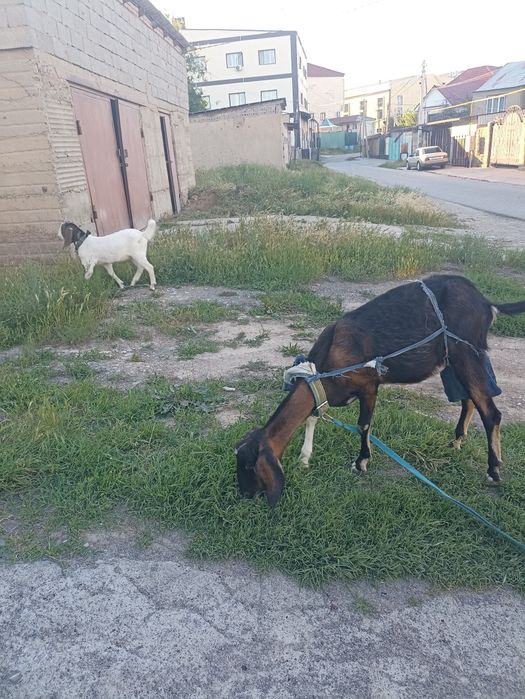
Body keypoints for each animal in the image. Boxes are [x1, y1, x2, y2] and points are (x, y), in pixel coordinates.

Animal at [236, 274, 525, 506]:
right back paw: (457, 442)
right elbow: (313, 416)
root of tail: (486, 302)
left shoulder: (368, 385)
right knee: (469, 401)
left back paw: (493, 471)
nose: (244, 495)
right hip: (453, 361)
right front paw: (305, 459)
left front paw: (361, 463)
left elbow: (363, 424)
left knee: (491, 412)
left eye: (250, 465)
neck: (327, 364)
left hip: (466, 352)